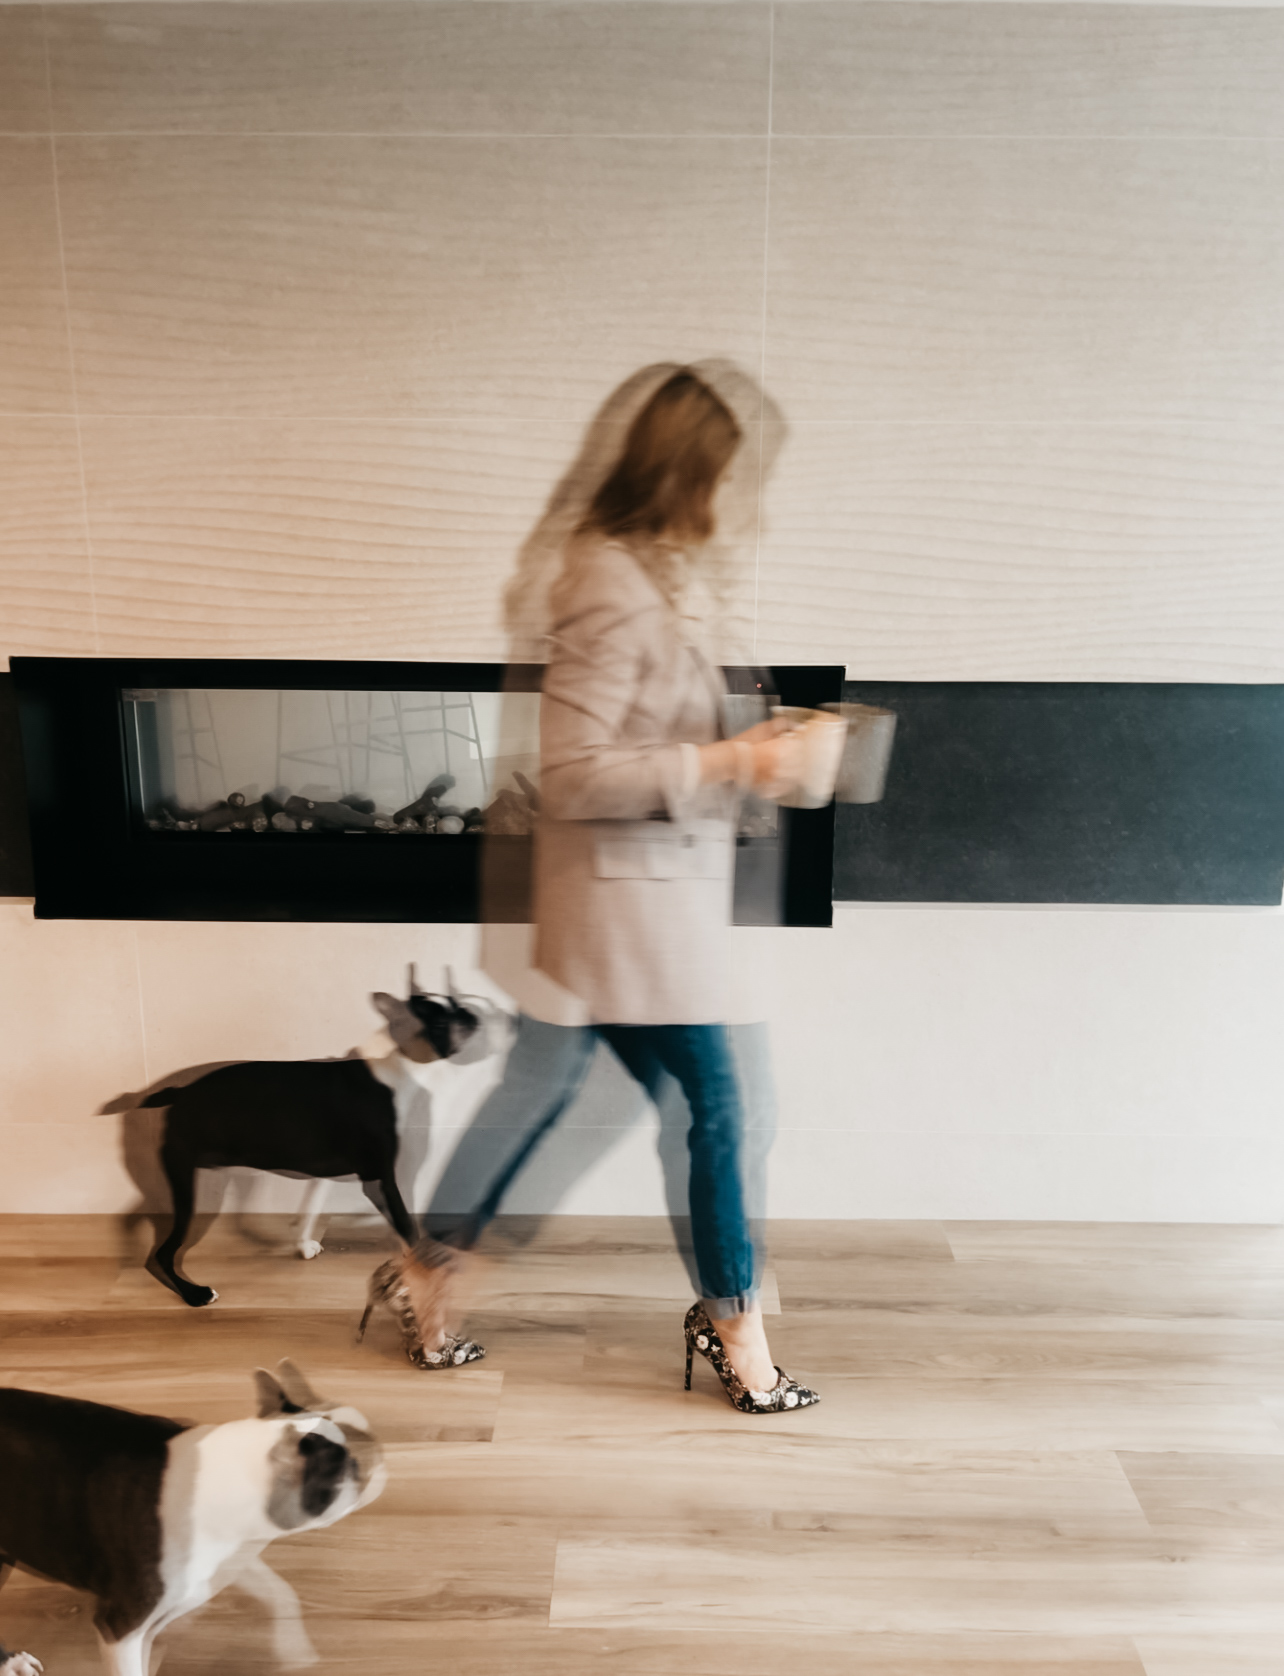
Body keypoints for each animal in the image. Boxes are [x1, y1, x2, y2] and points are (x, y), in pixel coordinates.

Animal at [0, 1361, 384, 1676]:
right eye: (352, 1465)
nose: (381, 1455)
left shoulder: (228, 1560)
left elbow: (280, 1590)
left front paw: (293, 1648)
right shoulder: (121, 1627)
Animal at [135, 968, 501, 1307]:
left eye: (453, 1002)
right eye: (440, 1022)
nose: (469, 1012)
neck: (393, 1065)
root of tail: (180, 1092)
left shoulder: (322, 1171)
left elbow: (309, 1209)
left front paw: (302, 1245)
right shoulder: (381, 1179)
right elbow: (407, 1227)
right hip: (183, 1176)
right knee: (163, 1251)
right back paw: (194, 1294)